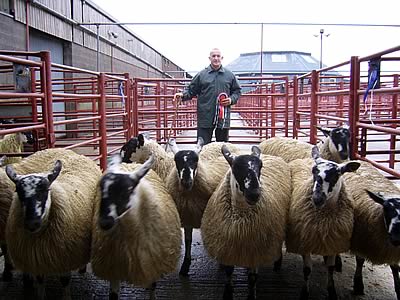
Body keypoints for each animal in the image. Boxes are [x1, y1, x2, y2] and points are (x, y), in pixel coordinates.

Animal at [4, 148, 101, 300]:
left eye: (46, 190)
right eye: (18, 192)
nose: (32, 223)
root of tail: (61, 149)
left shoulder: (65, 257)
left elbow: (65, 280)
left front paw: (66, 297)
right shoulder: (36, 260)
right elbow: (40, 280)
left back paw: (82, 268)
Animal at [91, 155, 180, 300]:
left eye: (128, 189)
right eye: (101, 188)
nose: (105, 222)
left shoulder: (152, 263)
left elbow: (153, 287)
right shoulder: (113, 269)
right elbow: (113, 295)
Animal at [203, 145, 290, 298]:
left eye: (261, 166)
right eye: (235, 167)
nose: (254, 194)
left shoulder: (255, 249)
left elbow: (252, 278)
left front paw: (251, 294)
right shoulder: (231, 247)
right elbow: (229, 271)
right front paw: (228, 292)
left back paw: (277, 263)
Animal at [286, 146, 360, 298]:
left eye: (337, 174)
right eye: (314, 171)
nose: (317, 198)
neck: (324, 219)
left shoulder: (333, 241)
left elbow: (330, 268)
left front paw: (332, 291)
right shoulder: (305, 241)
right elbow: (307, 270)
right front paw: (304, 293)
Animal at [342, 162, 400, 300]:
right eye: (386, 209)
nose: (396, 238)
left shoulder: (392, 251)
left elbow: (395, 268)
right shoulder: (360, 241)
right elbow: (360, 261)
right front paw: (358, 285)